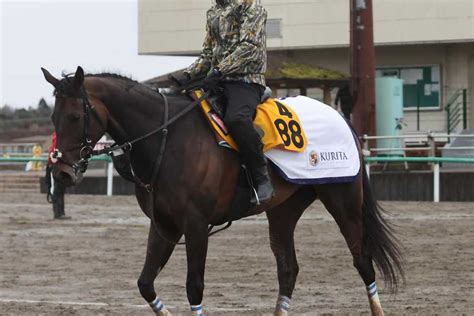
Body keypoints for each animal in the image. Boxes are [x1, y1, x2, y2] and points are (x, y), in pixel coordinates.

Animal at [41, 66, 404, 316]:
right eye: (54, 116)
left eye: (75, 116)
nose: (62, 172)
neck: (168, 137)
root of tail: (342, 118)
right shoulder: (164, 225)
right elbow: (145, 284)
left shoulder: (195, 225)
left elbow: (194, 287)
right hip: (283, 210)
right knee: (288, 270)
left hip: (344, 201)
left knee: (363, 261)